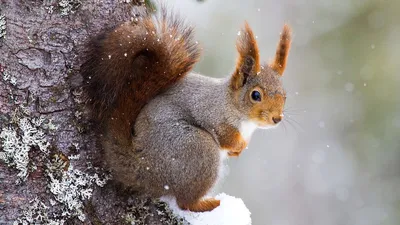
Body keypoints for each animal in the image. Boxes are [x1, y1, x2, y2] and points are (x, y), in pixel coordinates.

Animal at [81, 6, 292, 212]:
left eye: (285, 95)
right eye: (255, 95)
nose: (277, 118)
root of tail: (146, 167)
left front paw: (238, 150)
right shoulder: (212, 113)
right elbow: (225, 135)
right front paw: (238, 145)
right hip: (198, 149)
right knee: (185, 202)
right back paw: (207, 204)